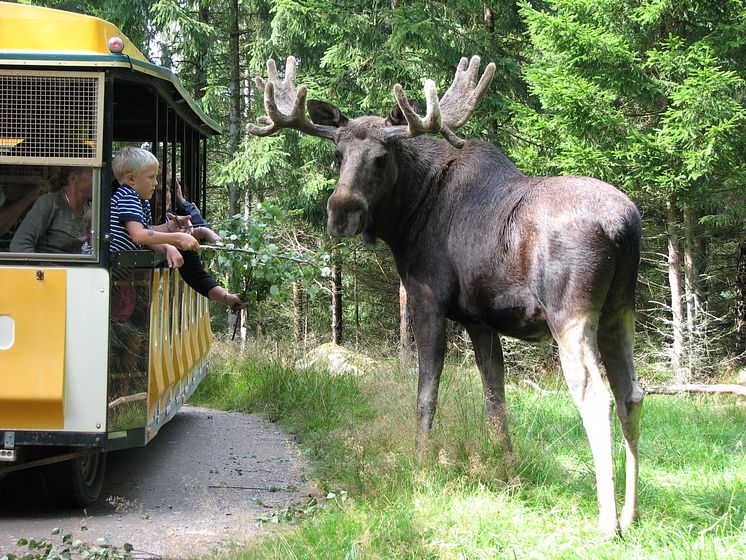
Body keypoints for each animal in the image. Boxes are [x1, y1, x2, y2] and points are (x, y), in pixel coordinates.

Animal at [247, 57, 644, 540]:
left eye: (381, 158)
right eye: (337, 155)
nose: (340, 213)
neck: (407, 218)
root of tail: (624, 226)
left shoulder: (428, 300)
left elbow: (426, 391)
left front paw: (420, 464)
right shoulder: (480, 320)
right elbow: (495, 398)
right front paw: (507, 470)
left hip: (571, 313)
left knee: (595, 396)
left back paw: (608, 522)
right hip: (620, 310)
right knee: (631, 394)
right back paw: (631, 514)